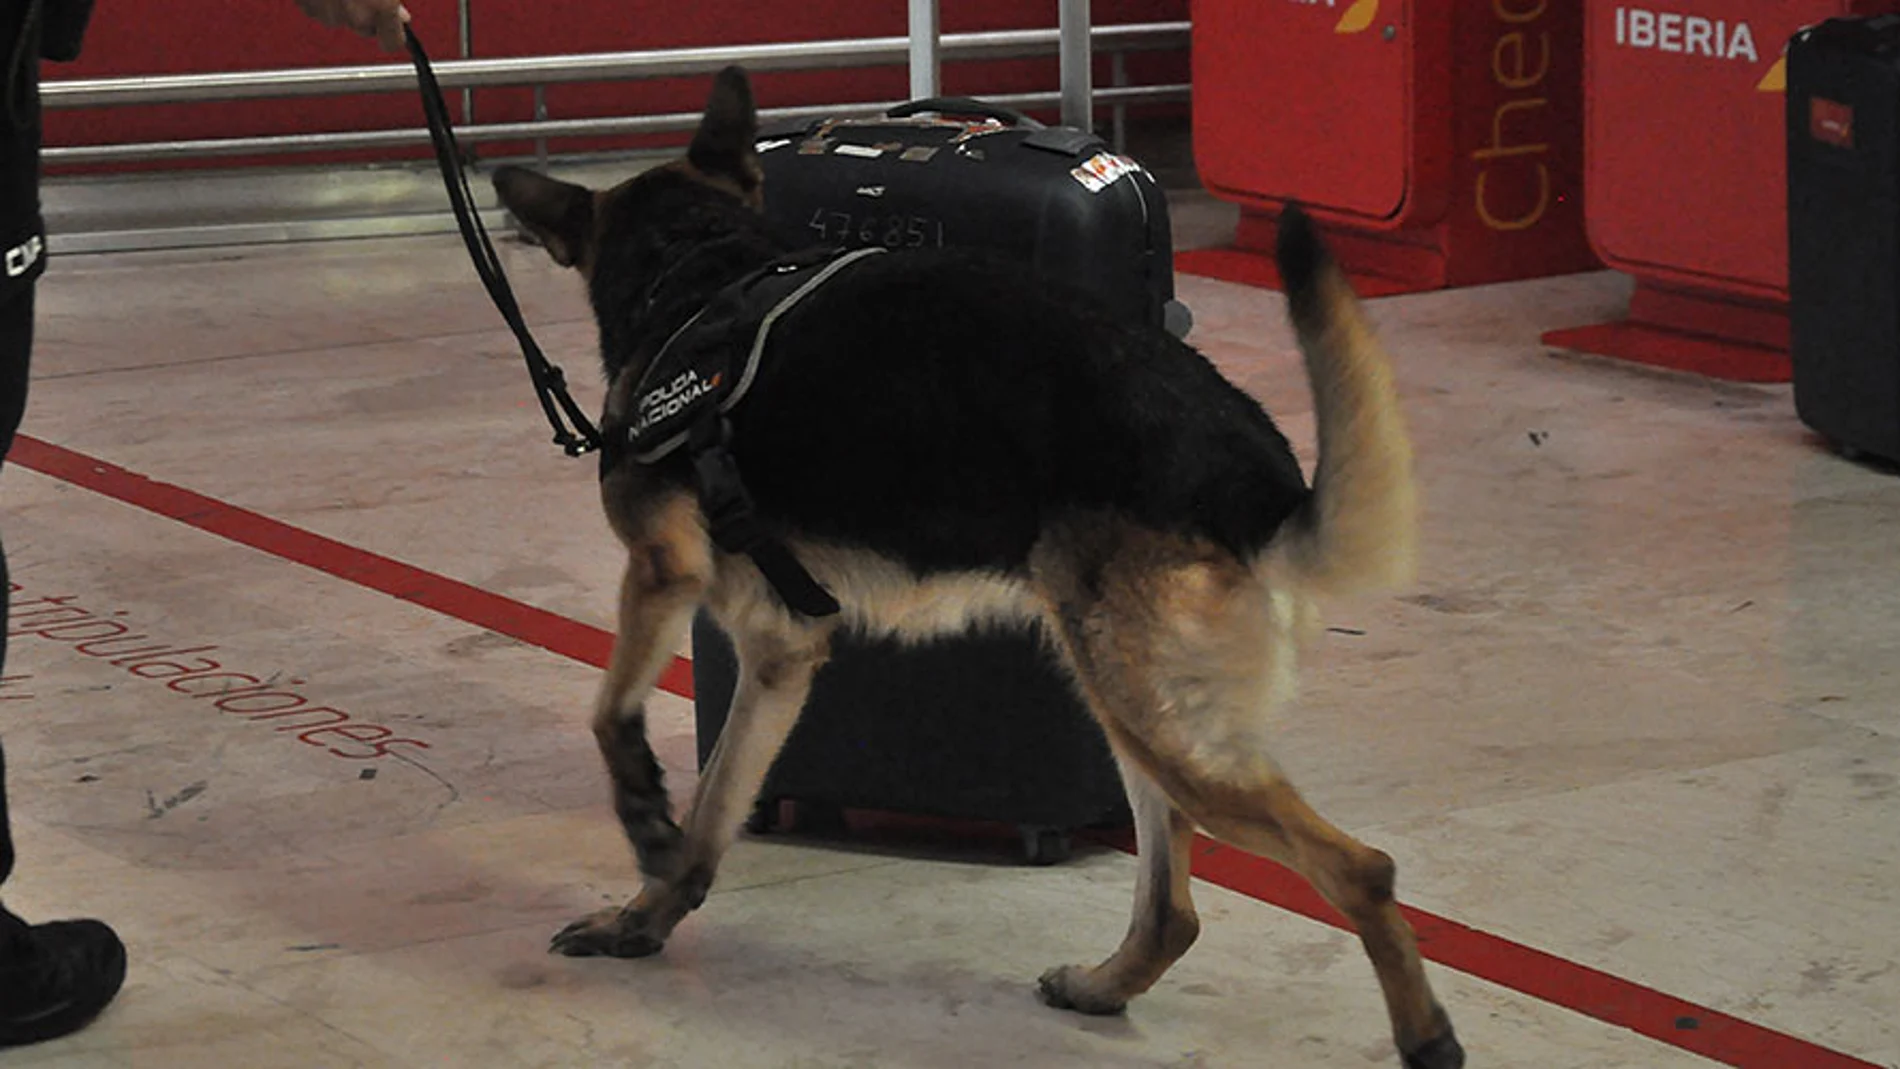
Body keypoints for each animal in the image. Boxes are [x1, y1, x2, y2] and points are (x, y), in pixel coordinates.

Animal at [494, 66, 1466, 1069]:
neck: (700, 272)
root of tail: (1261, 477)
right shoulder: (780, 654)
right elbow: (714, 810)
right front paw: (644, 920)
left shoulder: (660, 570)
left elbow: (609, 713)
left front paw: (643, 812)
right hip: (1132, 711)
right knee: (1175, 909)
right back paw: (1102, 985)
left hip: (1165, 731)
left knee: (1361, 868)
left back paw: (1427, 1036)